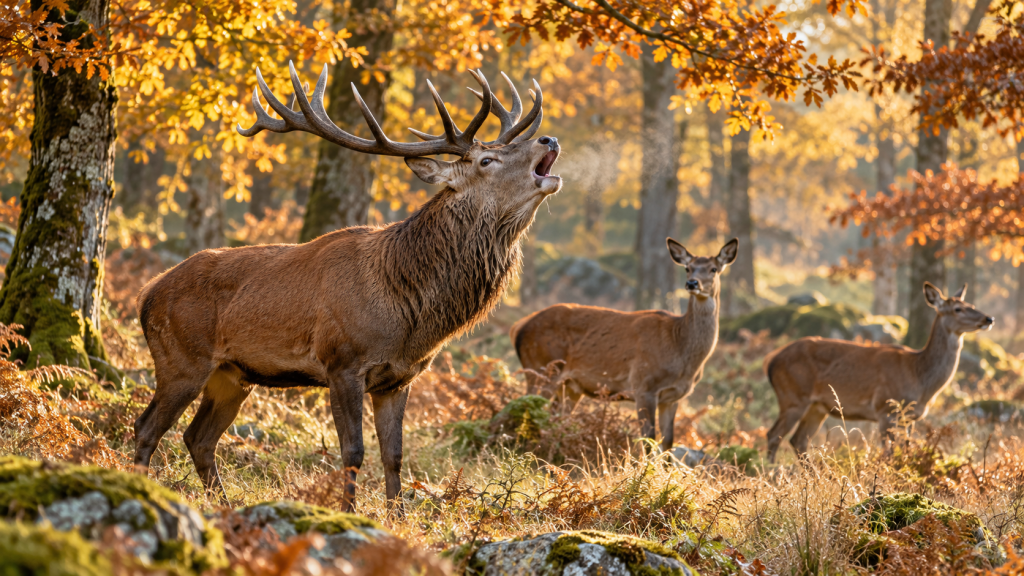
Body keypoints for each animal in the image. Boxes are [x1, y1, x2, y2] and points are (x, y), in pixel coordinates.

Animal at [132, 62, 561, 511]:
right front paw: (349, 512)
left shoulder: (399, 378)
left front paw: (397, 515)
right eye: (486, 159)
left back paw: (225, 505)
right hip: (182, 359)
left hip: (232, 375)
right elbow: (353, 451)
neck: (407, 311)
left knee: (198, 437)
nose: (548, 138)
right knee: (146, 427)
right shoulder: (342, 362)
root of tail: (146, 295)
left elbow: (394, 454)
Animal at [510, 238, 739, 452]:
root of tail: (519, 327)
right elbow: (648, 440)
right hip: (540, 369)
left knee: (554, 419)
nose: (692, 283)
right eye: (687, 267)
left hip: (569, 386)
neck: (681, 353)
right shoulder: (644, 385)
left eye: (714, 269)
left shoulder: (673, 397)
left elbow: (668, 443)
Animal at [764, 282, 994, 462]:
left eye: (971, 305)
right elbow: (888, 454)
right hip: (793, 397)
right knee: (773, 435)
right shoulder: (886, 409)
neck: (920, 380)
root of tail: (771, 362)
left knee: (798, 441)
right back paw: (772, 476)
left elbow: (905, 451)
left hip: (817, 406)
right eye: (957, 309)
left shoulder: (909, 418)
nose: (988, 318)